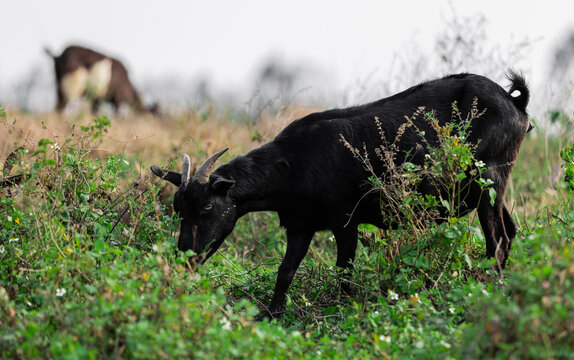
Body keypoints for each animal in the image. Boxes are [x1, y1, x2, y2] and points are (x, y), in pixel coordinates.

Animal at [151, 72, 532, 318]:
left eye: (206, 208)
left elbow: (344, 270)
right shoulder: (301, 225)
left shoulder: (346, 220)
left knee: (497, 240)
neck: (291, 164)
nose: (185, 257)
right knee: (510, 232)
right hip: (493, 187)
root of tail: (517, 106)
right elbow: (285, 271)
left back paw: (485, 291)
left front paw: (344, 311)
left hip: (488, 178)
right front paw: (270, 315)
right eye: (178, 210)